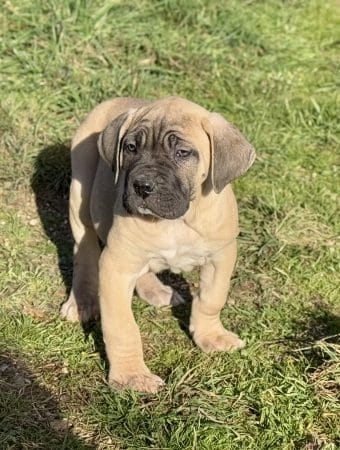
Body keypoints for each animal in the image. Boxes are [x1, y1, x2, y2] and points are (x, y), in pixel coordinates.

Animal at [60, 96, 255, 392]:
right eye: (131, 148)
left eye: (183, 153)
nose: (142, 186)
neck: (176, 222)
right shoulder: (116, 265)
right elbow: (122, 326)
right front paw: (131, 376)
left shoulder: (221, 255)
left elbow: (212, 298)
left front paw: (211, 335)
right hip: (79, 193)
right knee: (85, 253)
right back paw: (82, 302)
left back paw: (155, 290)